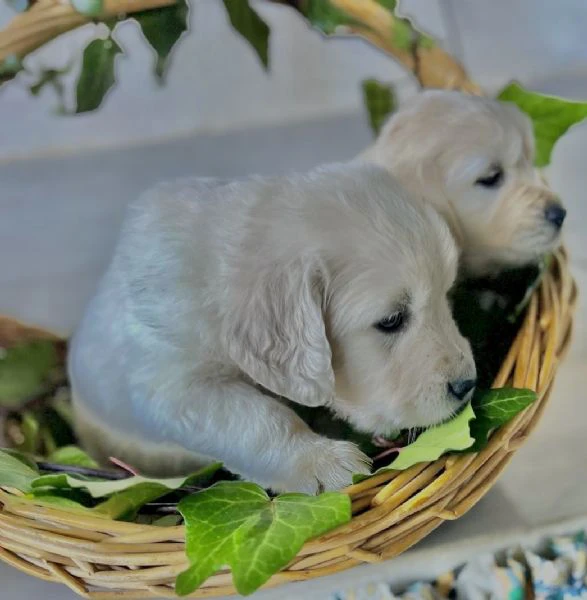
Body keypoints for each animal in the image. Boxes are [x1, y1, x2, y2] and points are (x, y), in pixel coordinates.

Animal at [68, 163, 478, 492]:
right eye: (391, 320)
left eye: (446, 295)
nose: (468, 385)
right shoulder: (174, 383)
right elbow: (257, 418)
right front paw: (324, 462)